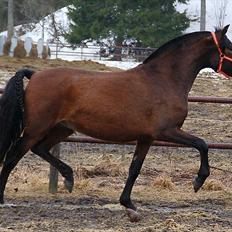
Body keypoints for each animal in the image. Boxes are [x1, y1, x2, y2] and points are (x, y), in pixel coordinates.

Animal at [0, 24, 232, 221]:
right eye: (229, 46)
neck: (163, 80)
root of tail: (34, 74)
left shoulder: (146, 138)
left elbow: (134, 169)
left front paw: (128, 203)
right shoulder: (166, 131)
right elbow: (202, 144)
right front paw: (198, 181)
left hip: (61, 128)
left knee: (40, 149)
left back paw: (69, 178)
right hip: (36, 129)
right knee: (12, 157)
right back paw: (3, 198)